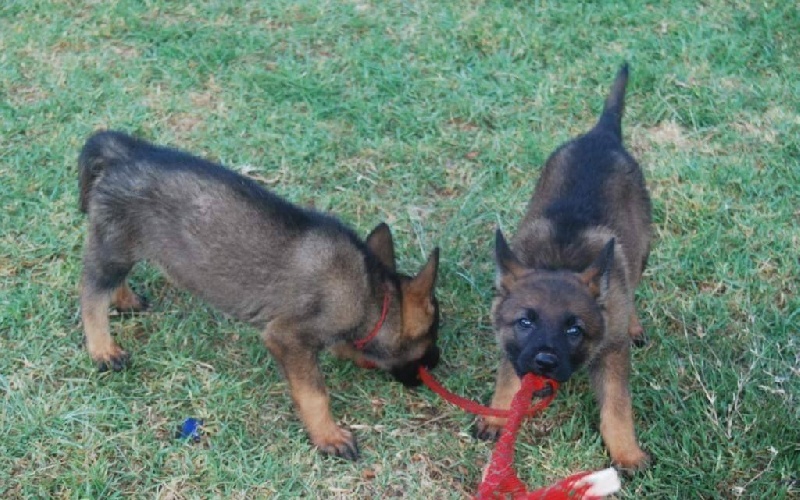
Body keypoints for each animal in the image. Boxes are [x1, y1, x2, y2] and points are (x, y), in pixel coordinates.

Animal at [78, 130, 440, 460]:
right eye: (430, 342)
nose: (436, 365)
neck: (372, 297)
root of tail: (127, 153)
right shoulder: (288, 338)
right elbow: (315, 394)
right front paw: (328, 435)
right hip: (114, 247)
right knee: (91, 294)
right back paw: (103, 349)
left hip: (121, 246)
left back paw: (124, 300)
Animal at [476, 64, 648, 470]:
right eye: (525, 322)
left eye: (574, 330)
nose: (545, 362)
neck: (560, 261)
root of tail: (602, 133)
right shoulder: (513, 346)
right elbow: (508, 378)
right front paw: (498, 415)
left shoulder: (613, 353)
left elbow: (617, 406)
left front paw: (626, 452)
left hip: (644, 247)